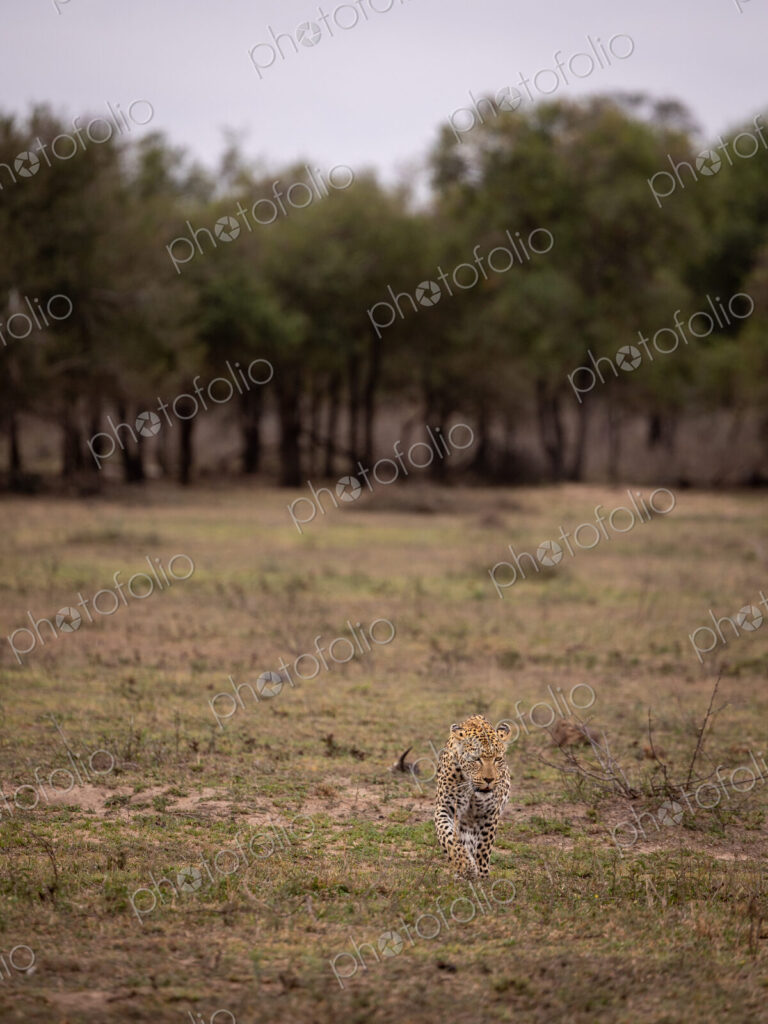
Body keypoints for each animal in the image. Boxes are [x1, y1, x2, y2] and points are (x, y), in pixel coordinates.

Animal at [434, 714, 511, 879]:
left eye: (497, 759)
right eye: (476, 759)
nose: (489, 780)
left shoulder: (490, 814)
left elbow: (483, 848)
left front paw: (482, 875)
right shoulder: (445, 808)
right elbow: (448, 838)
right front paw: (466, 865)